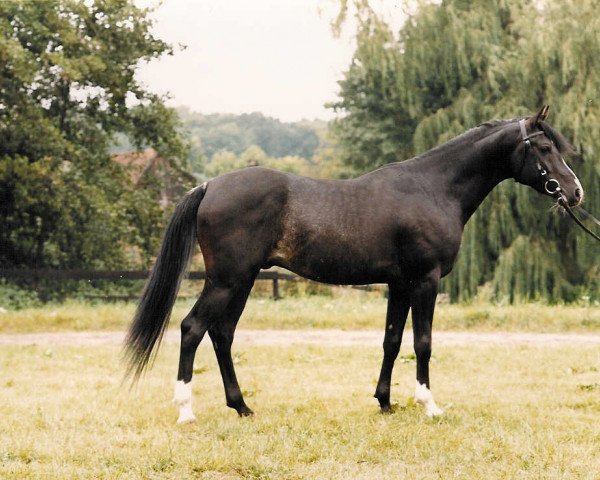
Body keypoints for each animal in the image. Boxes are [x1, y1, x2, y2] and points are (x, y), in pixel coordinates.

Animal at [125, 107, 580, 422]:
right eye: (543, 148)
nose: (575, 192)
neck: (433, 189)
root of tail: (209, 185)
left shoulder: (399, 285)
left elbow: (392, 342)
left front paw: (385, 402)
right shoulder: (425, 281)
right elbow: (423, 343)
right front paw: (429, 405)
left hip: (243, 281)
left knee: (221, 335)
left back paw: (242, 407)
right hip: (226, 280)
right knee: (192, 329)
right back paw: (187, 410)